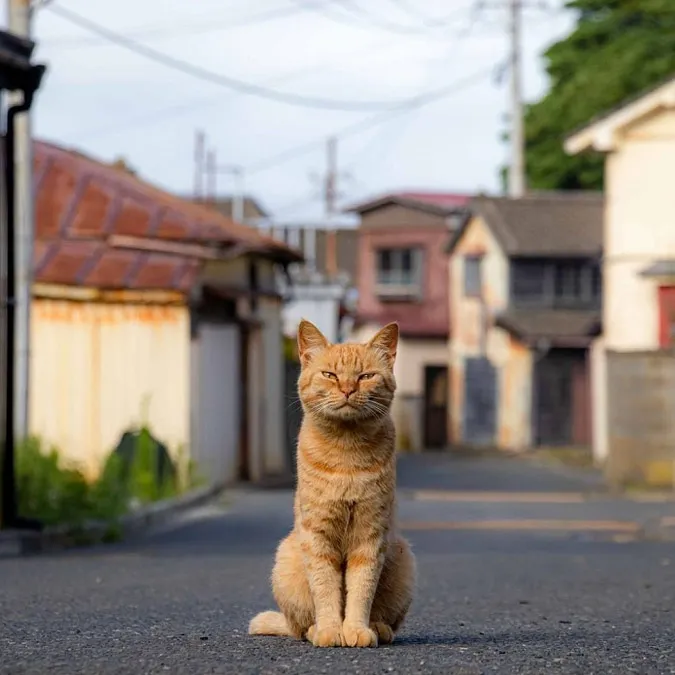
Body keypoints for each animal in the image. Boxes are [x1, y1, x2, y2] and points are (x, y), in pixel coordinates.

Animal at [250, 320, 418, 648]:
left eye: (365, 376)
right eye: (330, 375)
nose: (348, 389)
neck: (346, 451)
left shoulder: (370, 536)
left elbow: (361, 590)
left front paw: (356, 629)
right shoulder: (318, 536)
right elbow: (326, 588)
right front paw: (330, 630)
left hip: (403, 558)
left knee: (386, 618)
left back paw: (378, 627)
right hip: (287, 558)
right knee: (299, 627)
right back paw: (315, 629)